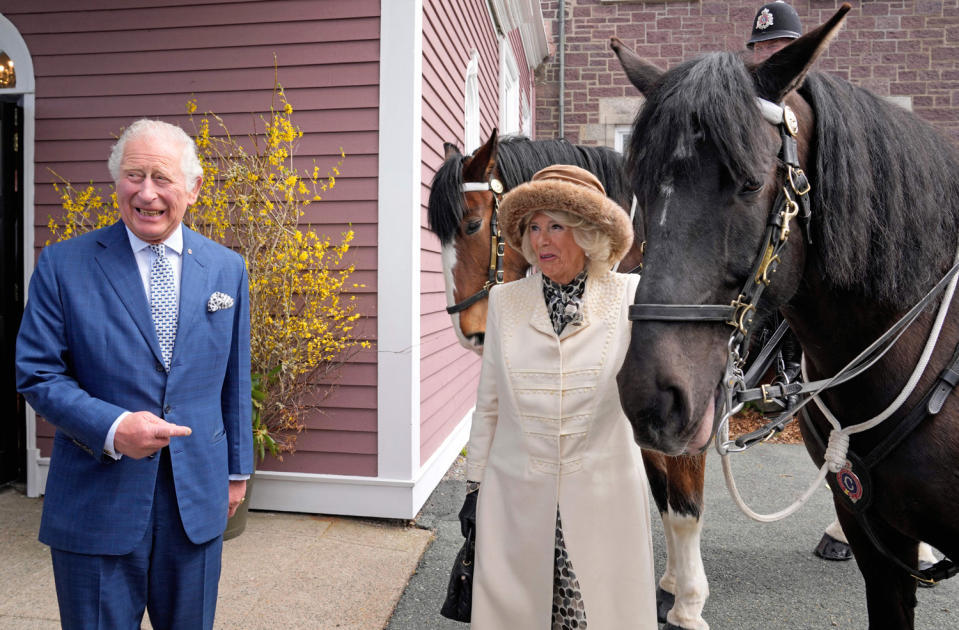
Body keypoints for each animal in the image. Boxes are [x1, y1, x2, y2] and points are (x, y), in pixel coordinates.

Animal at [616, 3, 959, 628]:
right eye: (641, 187)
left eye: (752, 184)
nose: (650, 395)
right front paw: (672, 588)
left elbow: (682, 508)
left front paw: (687, 604)